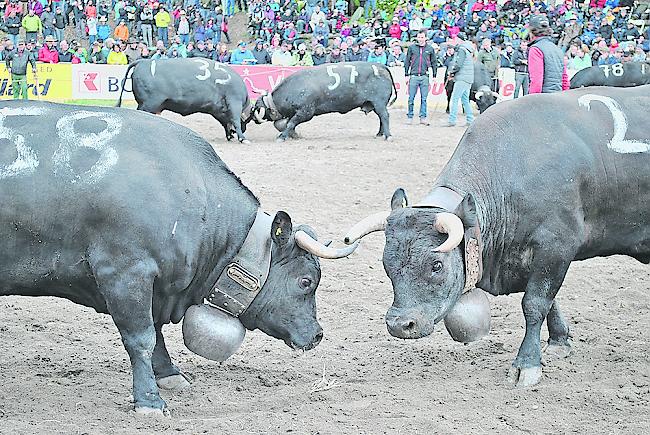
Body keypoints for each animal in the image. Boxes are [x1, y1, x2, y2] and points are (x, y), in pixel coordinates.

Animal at [0, 99, 360, 416]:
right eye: (306, 281)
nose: (317, 334)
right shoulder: (125, 273)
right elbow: (141, 338)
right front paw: (149, 400)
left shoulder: (156, 286)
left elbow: (156, 333)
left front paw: (169, 375)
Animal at [115, 56, 252, 143]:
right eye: (246, 122)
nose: (244, 130)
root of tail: (143, 61)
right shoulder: (234, 101)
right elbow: (235, 119)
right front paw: (242, 138)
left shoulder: (218, 110)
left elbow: (226, 123)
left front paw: (230, 136)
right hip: (148, 104)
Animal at [249, 61, 394, 142]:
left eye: (258, 106)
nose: (253, 118)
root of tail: (380, 66)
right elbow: (290, 124)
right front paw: (293, 135)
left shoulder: (306, 112)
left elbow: (290, 124)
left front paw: (282, 137)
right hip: (375, 104)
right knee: (381, 118)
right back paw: (379, 134)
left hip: (379, 103)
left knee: (385, 116)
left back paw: (387, 135)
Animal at [342, 84, 644, 388]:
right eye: (386, 264)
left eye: (436, 265)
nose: (399, 324)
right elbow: (550, 301)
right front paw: (559, 341)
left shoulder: (557, 247)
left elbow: (535, 303)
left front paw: (527, 364)